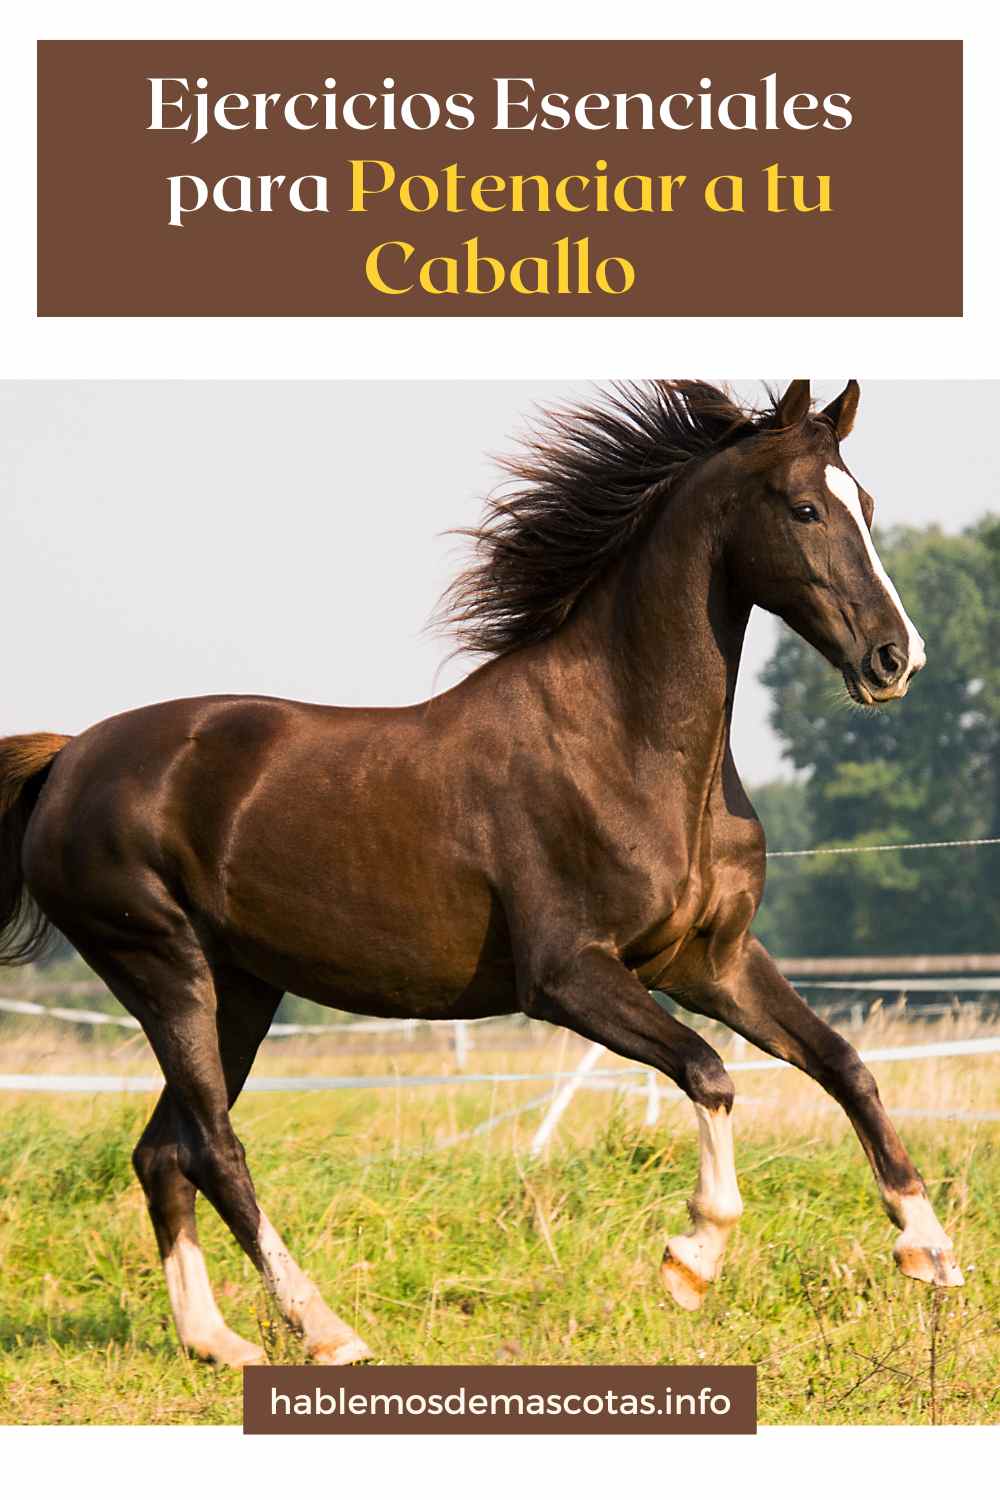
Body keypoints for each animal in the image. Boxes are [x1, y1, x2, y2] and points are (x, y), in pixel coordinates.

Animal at [0, 379, 962, 1369]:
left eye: (868, 505)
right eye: (805, 509)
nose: (896, 660)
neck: (625, 744)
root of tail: (67, 761)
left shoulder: (712, 961)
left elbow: (844, 1062)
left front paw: (928, 1249)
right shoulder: (567, 976)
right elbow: (709, 1071)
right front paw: (692, 1260)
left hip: (241, 989)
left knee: (166, 1153)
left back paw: (218, 1343)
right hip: (166, 971)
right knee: (214, 1149)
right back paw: (327, 1331)